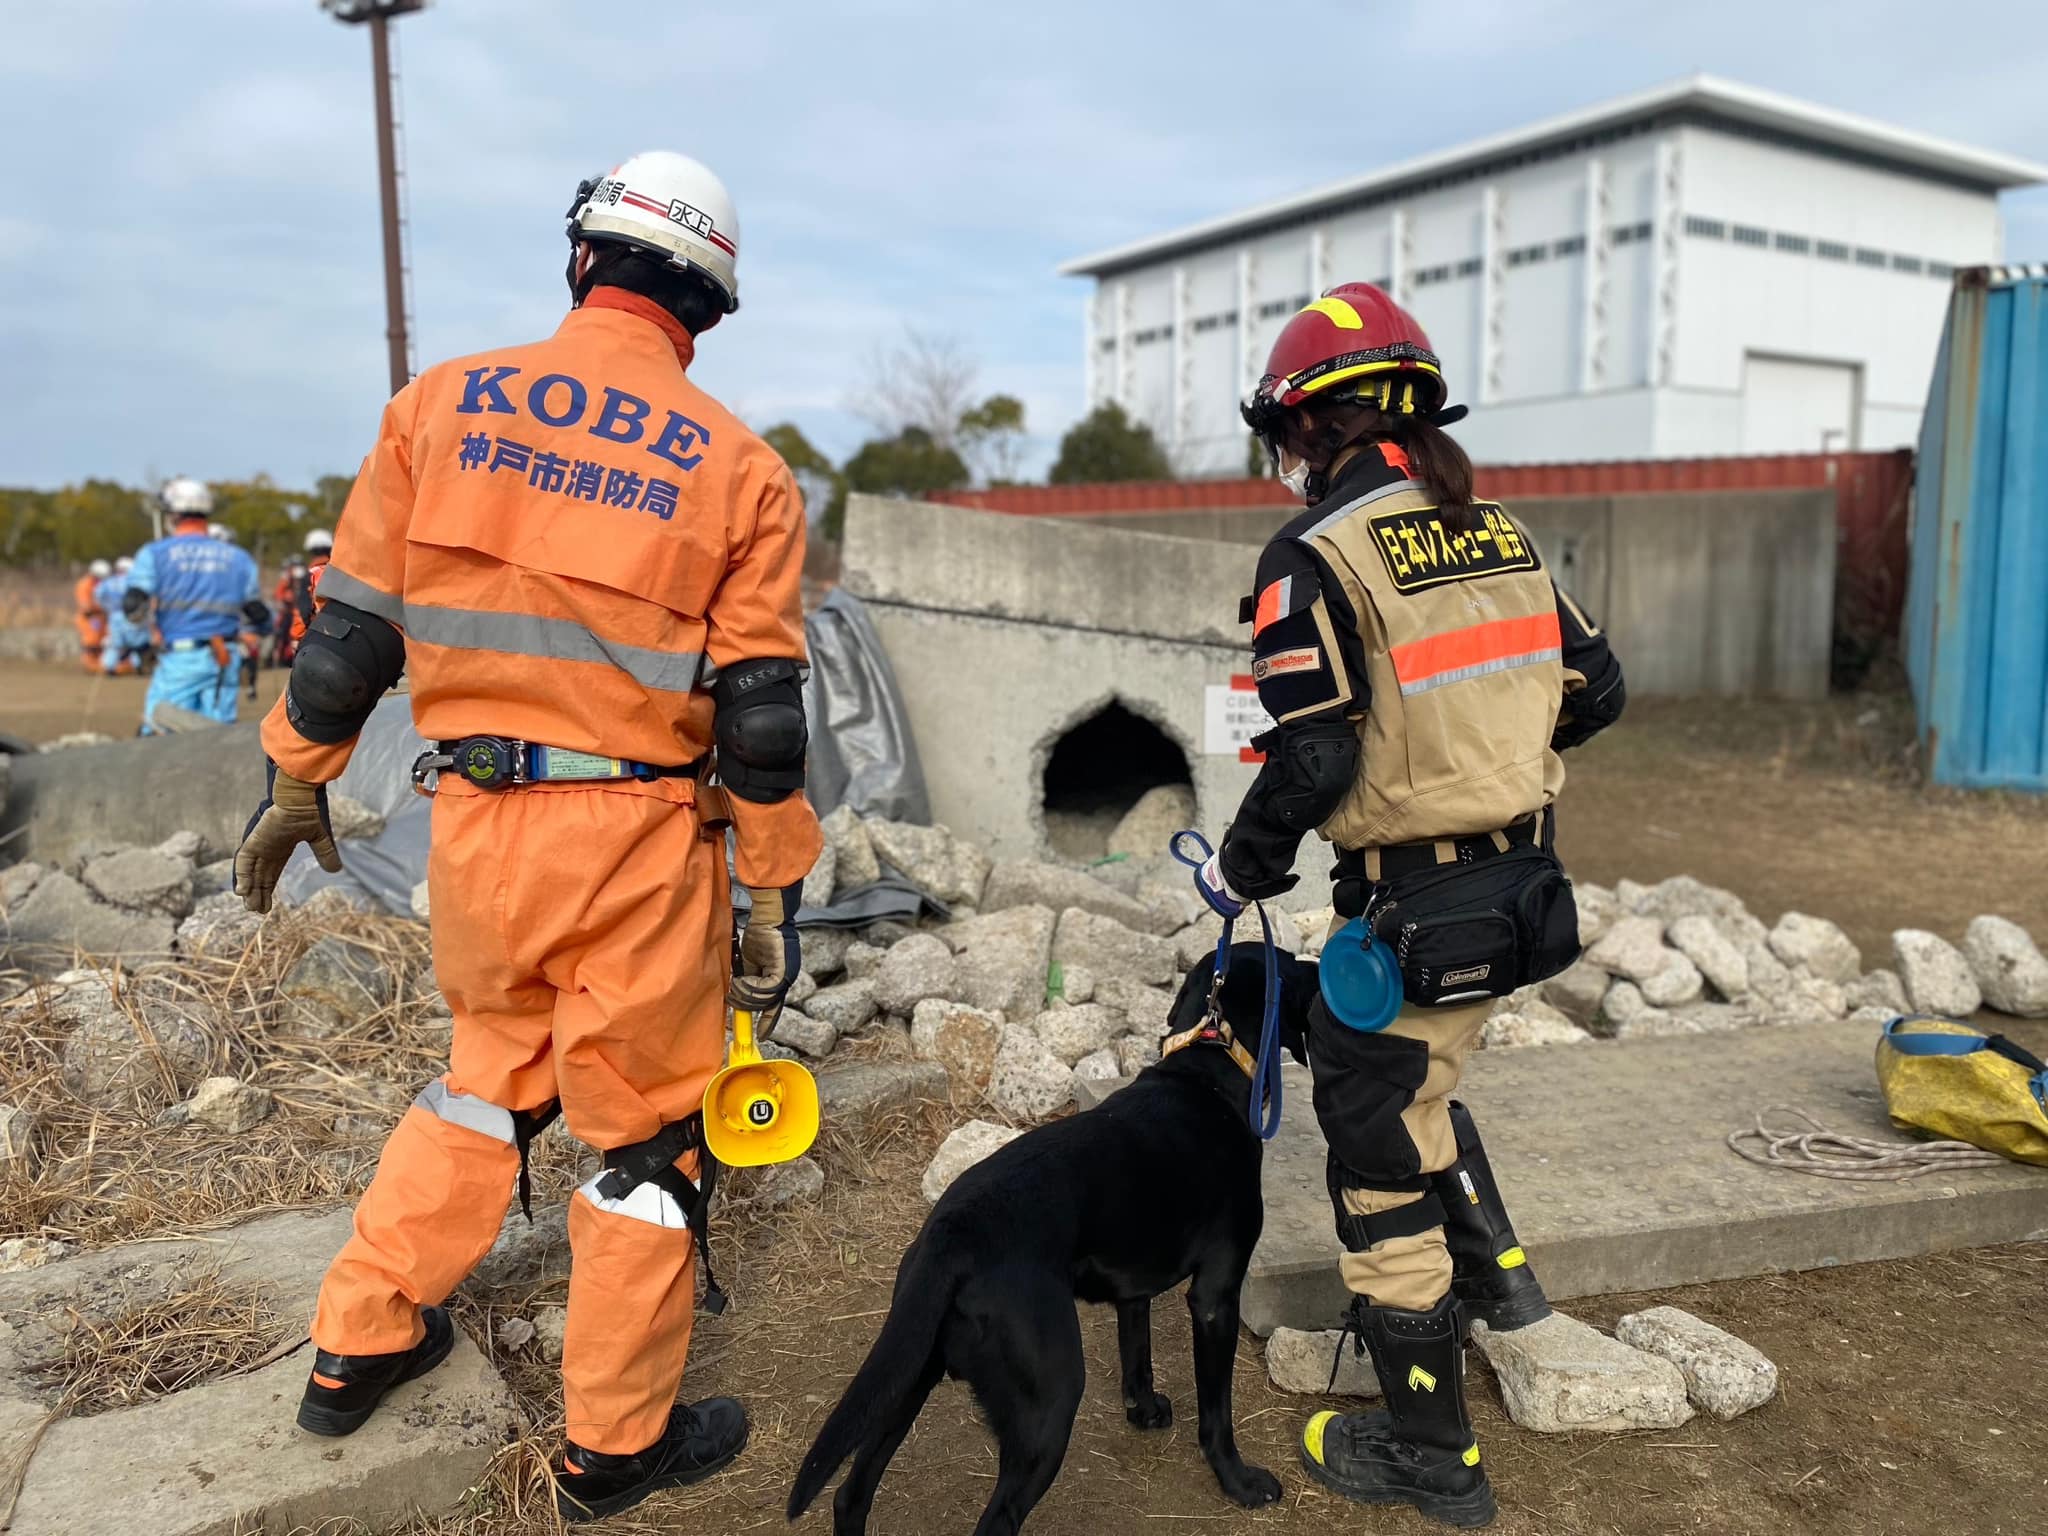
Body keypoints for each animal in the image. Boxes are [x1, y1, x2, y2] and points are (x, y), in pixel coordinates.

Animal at [782, 946, 1310, 1531]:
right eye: (1292, 966)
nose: (1321, 971)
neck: (1208, 1067)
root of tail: (950, 1237)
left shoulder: (1134, 1288)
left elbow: (1137, 1352)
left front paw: (1145, 1410)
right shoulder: (1216, 1297)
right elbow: (1217, 1412)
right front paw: (1239, 1481)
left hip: (906, 1375)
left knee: (851, 1493)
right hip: (1049, 1405)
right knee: (996, 1519)